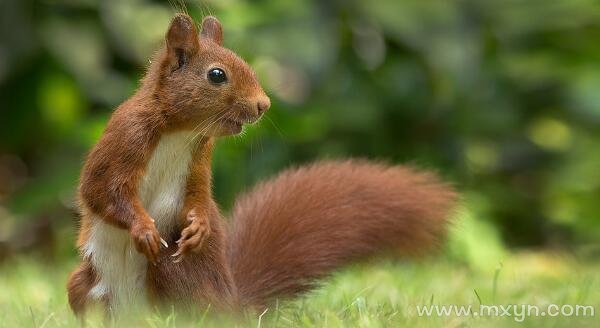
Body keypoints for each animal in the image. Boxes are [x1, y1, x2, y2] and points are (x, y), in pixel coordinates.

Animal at [65, 14, 458, 316]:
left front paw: (200, 226)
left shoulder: (200, 158)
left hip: (173, 273)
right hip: (83, 284)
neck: (180, 132)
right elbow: (101, 190)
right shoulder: (126, 137)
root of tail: (234, 305)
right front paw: (144, 229)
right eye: (217, 75)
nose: (263, 104)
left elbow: (198, 194)